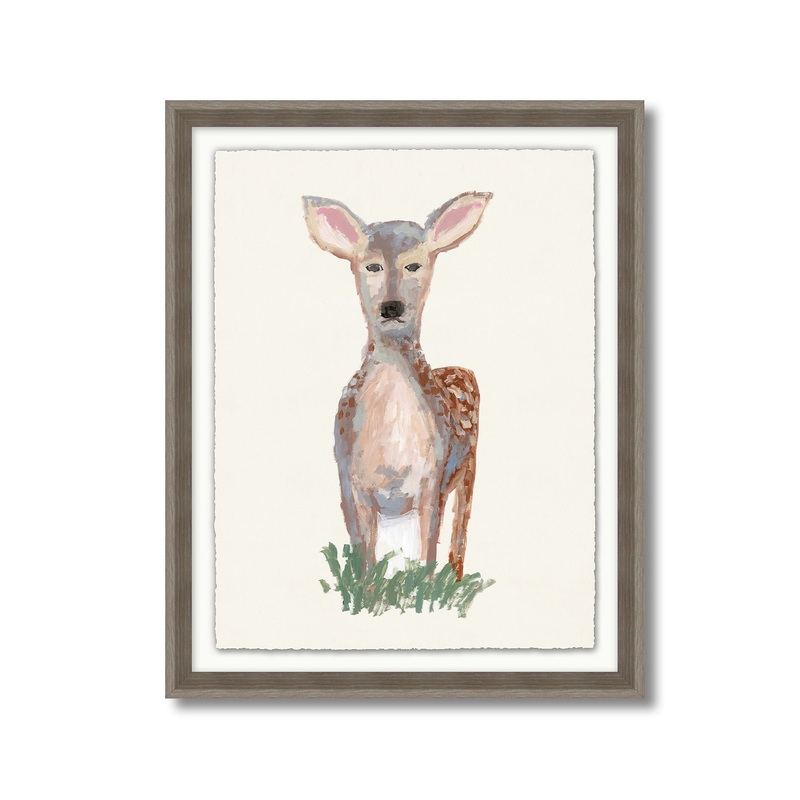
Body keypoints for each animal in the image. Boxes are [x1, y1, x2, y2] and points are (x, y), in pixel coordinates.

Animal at [303, 192, 491, 580]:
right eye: (372, 266)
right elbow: (366, 559)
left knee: (459, 531)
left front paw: (425, 589)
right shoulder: (350, 480)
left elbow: (427, 553)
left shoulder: (432, 478)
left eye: (414, 265)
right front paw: (371, 591)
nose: (392, 306)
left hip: (469, 465)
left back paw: (457, 577)